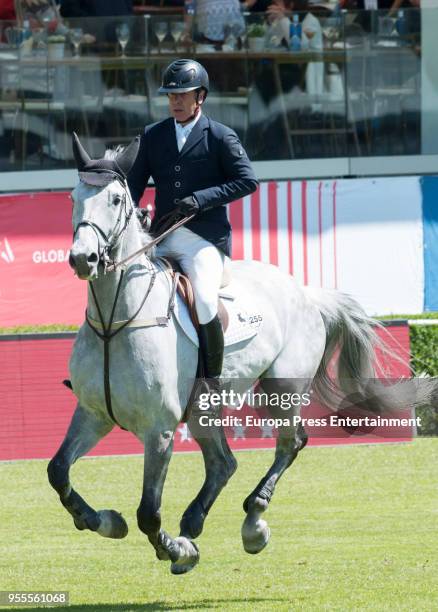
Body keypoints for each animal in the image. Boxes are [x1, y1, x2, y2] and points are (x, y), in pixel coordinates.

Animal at [47, 134, 424, 572]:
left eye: (115, 199)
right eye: (73, 197)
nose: (82, 259)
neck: (114, 323)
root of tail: (305, 292)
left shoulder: (159, 430)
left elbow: (148, 512)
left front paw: (175, 550)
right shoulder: (93, 414)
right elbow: (58, 471)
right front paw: (102, 521)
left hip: (279, 391)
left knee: (290, 443)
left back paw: (252, 523)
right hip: (204, 408)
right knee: (223, 462)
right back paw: (194, 521)